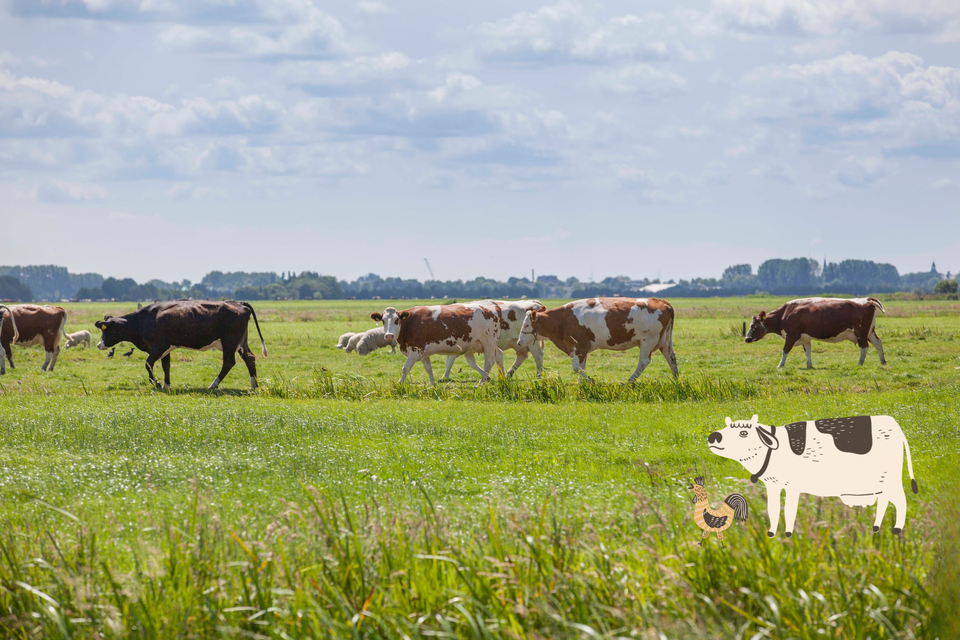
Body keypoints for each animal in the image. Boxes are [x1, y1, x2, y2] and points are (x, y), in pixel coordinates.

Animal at [95, 300, 267, 390]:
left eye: (105, 330)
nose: (98, 344)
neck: (144, 320)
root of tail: (238, 303)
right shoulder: (166, 349)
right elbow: (166, 366)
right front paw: (166, 385)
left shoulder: (159, 346)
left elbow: (148, 364)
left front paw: (156, 383)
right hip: (240, 342)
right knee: (250, 358)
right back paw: (254, 385)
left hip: (229, 342)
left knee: (228, 362)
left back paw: (213, 385)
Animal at [370, 302, 504, 384]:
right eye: (383, 321)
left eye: (396, 320)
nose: (389, 335)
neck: (409, 323)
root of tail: (491, 306)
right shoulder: (423, 352)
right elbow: (429, 368)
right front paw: (433, 383)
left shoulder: (415, 350)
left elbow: (405, 368)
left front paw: (399, 384)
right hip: (482, 345)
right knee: (498, 355)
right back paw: (499, 378)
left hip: (488, 343)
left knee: (489, 362)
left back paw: (481, 382)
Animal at [516, 297, 678, 382]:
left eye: (526, 324)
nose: (519, 342)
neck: (563, 320)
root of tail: (661, 302)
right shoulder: (582, 349)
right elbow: (581, 367)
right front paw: (582, 384)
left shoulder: (580, 346)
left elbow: (576, 367)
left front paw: (590, 380)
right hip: (664, 342)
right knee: (671, 357)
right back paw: (675, 379)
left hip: (648, 340)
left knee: (644, 362)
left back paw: (629, 381)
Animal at [708, 414, 918, 537]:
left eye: (743, 432)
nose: (713, 436)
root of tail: (895, 424)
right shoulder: (773, 484)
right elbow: (773, 509)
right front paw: (771, 533)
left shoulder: (792, 485)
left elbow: (789, 509)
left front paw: (788, 534)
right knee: (884, 501)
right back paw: (875, 528)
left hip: (891, 479)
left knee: (901, 500)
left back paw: (896, 529)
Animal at [745, 297, 886, 369]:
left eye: (753, 325)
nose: (746, 338)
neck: (786, 313)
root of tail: (865, 299)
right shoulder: (805, 338)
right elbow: (808, 352)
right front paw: (809, 366)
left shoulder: (792, 335)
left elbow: (785, 350)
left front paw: (780, 365)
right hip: (870, 332)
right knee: (878, 343)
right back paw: (883, 362)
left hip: (861, 332)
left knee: (864, 347)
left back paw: (860, 363)